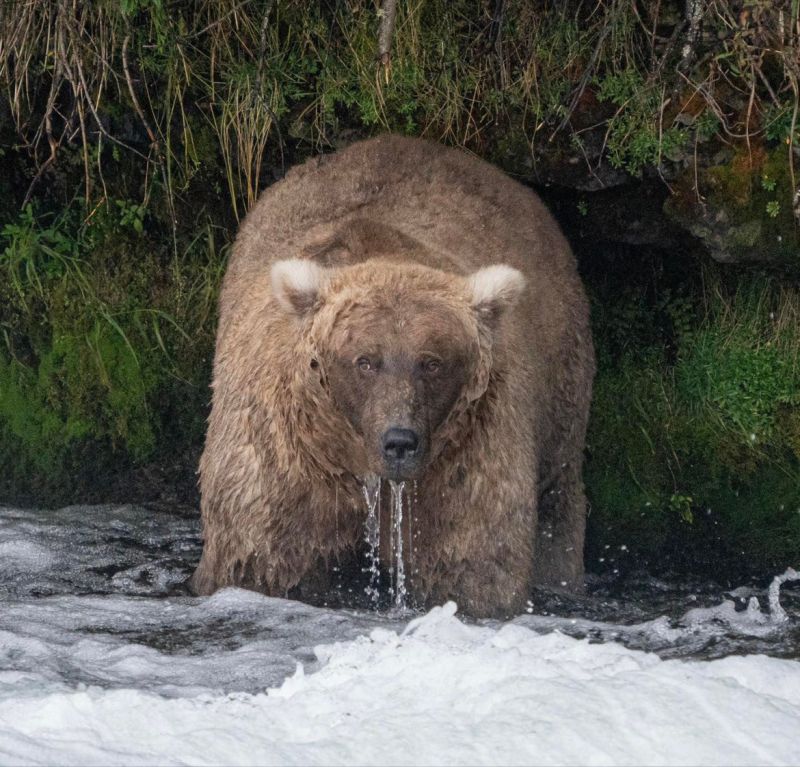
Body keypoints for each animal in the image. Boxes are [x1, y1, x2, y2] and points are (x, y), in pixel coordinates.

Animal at [189, 135, 595, 618]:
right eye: (364, 360)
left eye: (432, 362)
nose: (399, 442)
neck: (359, 464)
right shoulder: (284, 456)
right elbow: (259, 557)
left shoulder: (464, 457)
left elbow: (472, 563)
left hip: (561, 386)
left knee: (557, 499)